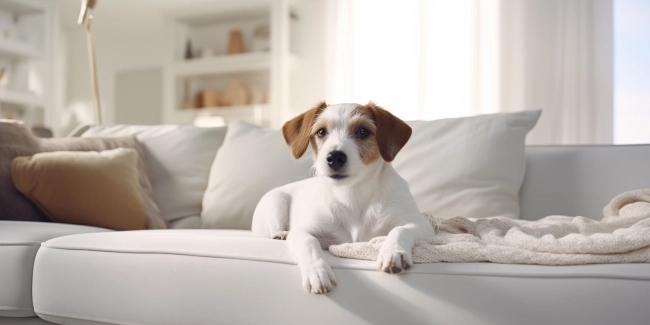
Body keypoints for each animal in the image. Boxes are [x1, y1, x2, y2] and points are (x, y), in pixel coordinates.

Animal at [251, 101, 432, 294]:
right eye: (321, 132)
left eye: (363, 131)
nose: (334, 157)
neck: (352, 195)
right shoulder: (303, 231)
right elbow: (309, 242)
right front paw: (317, 272)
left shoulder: (420, 224)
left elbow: (399, 230)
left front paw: (393, 252)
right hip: (276, 201)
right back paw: (281, 234)